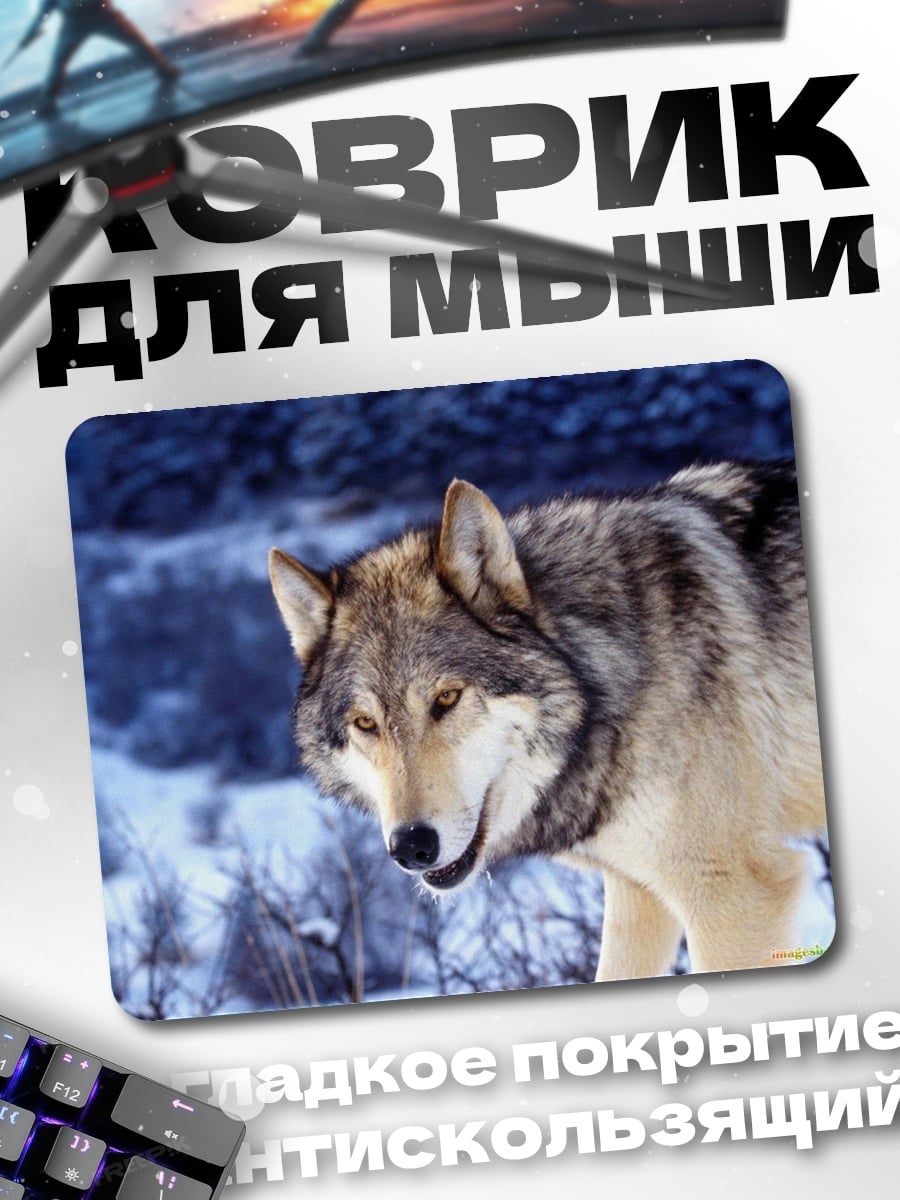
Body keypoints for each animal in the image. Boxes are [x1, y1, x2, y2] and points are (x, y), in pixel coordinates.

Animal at [269, 460, 826, 982]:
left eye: (446, 698)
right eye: (366, 723)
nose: (411, 847)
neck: (608, 678)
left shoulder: (732, 891)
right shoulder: (637, 890)